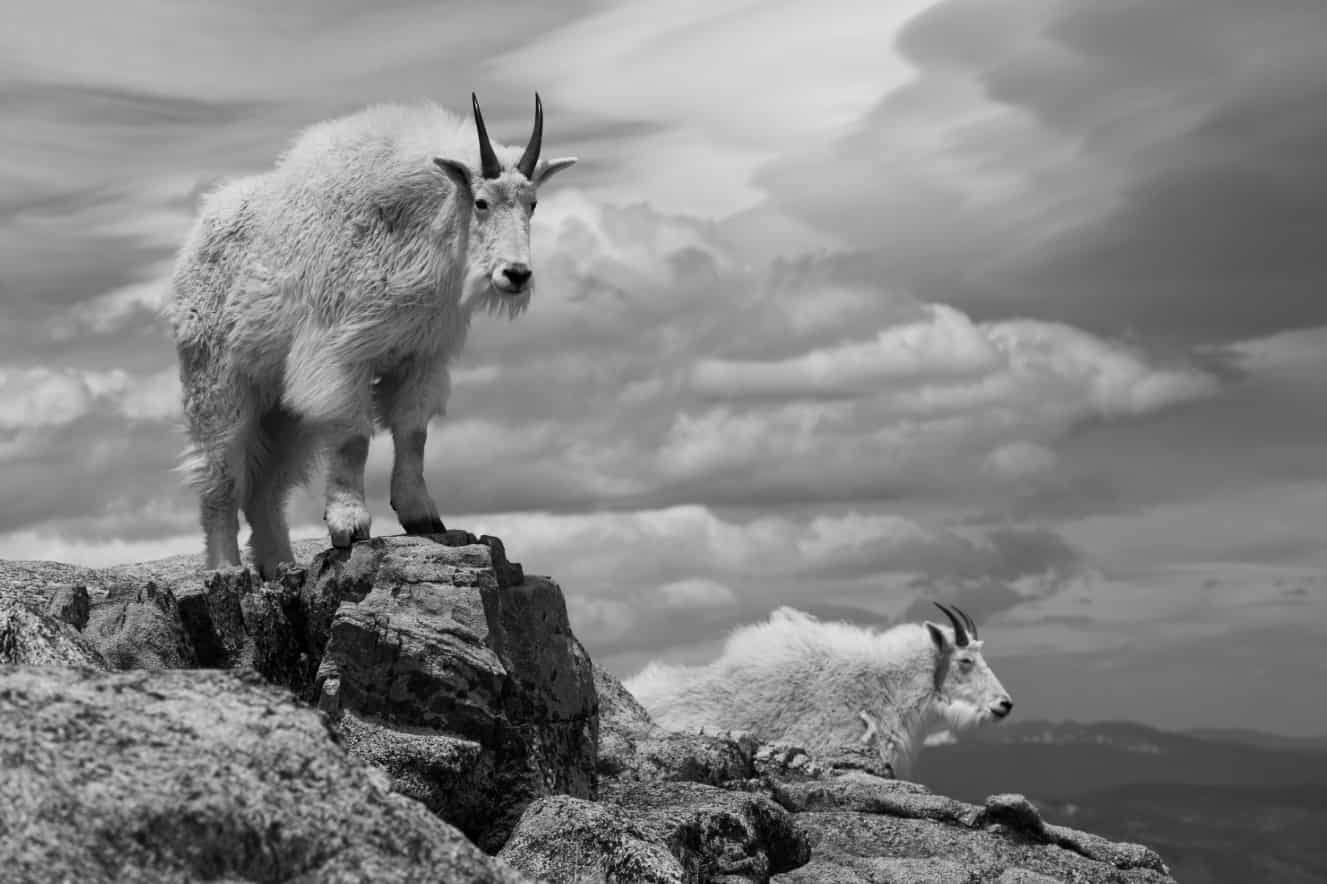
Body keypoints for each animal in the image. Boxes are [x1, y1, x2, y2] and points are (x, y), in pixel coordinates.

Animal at [164, 93, 576, 578]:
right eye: (481, 202)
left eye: (533, 204)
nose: (516, 274)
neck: (417, 229)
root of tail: (193, 242)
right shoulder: (339, 356)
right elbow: (352, 437)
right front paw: (350, 525)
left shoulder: (421, 356)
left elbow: (413, 433)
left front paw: (422, 515)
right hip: (217, 381)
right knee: (220, 477)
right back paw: (227, 569)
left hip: (281, 407)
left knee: (267, 490)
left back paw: (282, 567)